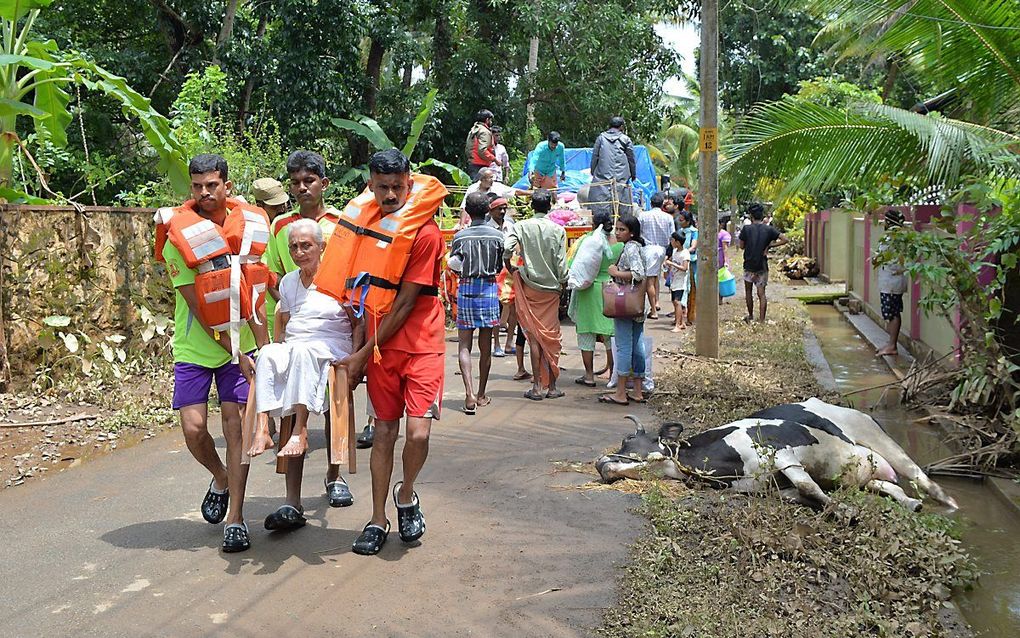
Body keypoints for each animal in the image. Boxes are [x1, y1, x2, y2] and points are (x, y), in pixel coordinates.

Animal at [595, 400, 950, 510]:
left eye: (629, 439)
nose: (601, 463)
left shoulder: (784, 455)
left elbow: (809, 487)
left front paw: (845, 511)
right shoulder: (770, 488)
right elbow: (806, 495)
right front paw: (839, 508)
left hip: (880, 439)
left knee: (919, 476)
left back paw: (945, 501)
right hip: (868, 473)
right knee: (888, 485)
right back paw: (911, 504)